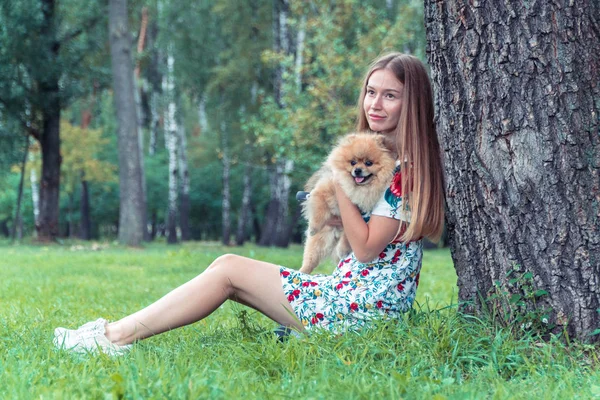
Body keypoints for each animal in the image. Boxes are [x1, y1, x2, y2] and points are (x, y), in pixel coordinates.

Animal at [300, 133, 398, 274]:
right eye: (353, 162)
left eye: (368, 163)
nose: (357, 170)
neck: (356, 188)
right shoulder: (324, 190)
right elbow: (319, 209)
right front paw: (313, 227)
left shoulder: (357, 215)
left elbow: (348, 235)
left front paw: (343, 249)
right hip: (319, 243)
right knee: (309, 261)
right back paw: (302, 271)